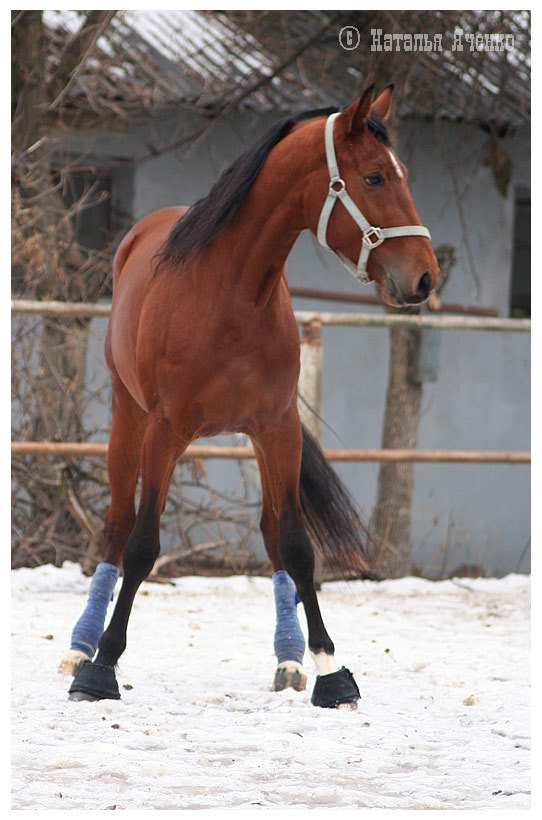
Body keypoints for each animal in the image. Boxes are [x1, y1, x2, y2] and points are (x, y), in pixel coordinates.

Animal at [60, 86, 442, 708]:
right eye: (375, 177)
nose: (426, 278)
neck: (229, 294)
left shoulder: (278, 428)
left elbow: (296, 545)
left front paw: (330, 671)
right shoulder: (166, 431)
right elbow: (142, 544)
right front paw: (104, 668)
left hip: (257, 442)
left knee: (269, 531)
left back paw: (289, 661)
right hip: (128, 417)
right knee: (116, 526)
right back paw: (79, 650)